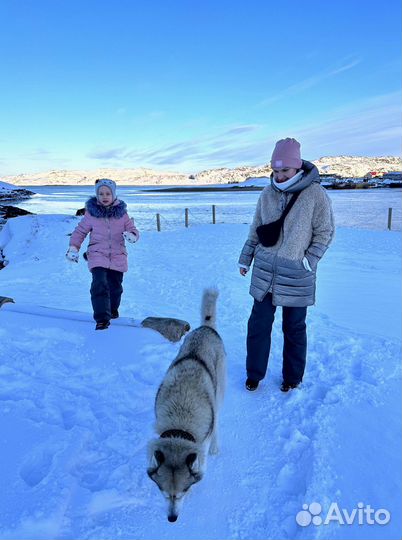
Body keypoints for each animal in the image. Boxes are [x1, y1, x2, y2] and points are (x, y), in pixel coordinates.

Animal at [147, 288, 226, 520]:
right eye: (164, 493)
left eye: (183, 492)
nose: (172, 518)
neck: (181, 420)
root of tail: (206, 328)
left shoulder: (202, 440)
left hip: (219, 393)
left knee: (218, 419)